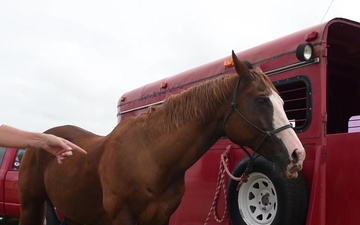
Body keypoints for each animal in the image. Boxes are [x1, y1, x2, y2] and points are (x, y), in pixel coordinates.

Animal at [19, 51, 306, 224]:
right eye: (261, 100)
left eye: (283, 102)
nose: (297, 155)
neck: (150, 157)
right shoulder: (122, 217)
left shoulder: (162, 216)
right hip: (30, 205)